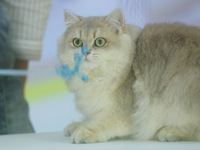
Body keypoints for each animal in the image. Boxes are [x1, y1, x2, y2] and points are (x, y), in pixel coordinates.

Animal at [57, 8, 141, 144]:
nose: (85, 52)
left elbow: (101, 123)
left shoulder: (127, 113)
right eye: (77, 42)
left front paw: (83, 131)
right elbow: (91, 119)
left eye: (100, 41)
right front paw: (76, 125)